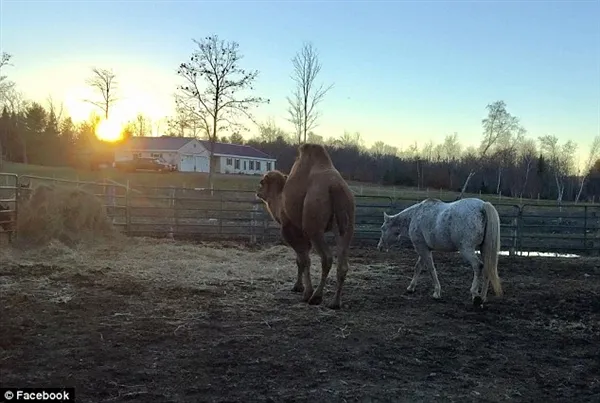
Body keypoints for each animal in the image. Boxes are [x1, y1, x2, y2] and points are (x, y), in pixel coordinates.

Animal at [254, 144, 356, 310]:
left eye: (262, 182)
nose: (257, 192)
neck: (279, 199)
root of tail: (336, 186)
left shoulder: (291, 228)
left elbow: (303, 259)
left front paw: (304, 291)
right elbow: (302, 259)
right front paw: (299, 287)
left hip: (314, 226)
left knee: (326, 258)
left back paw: (316, 297)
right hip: (347, 225)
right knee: (343, 263)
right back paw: (335, 303)